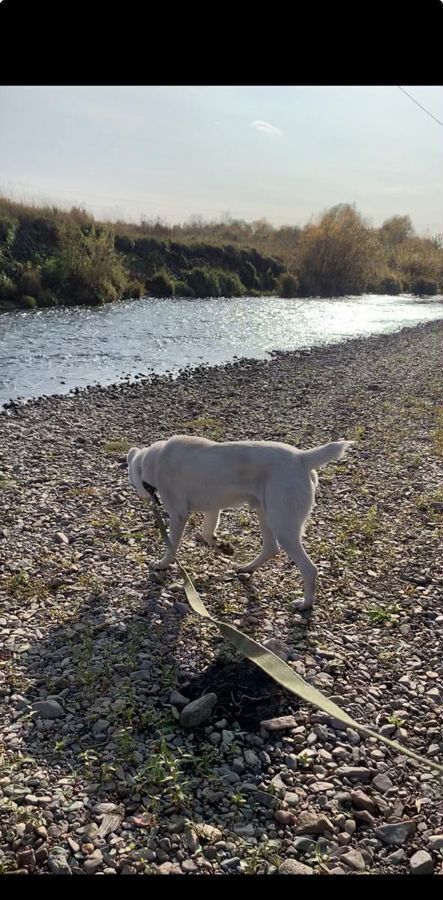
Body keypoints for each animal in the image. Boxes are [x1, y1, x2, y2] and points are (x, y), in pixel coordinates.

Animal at [125, 432, 354, 608]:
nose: (140, 496)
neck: (153, 460)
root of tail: (302, 457)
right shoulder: (213, 508)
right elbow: (206, 533)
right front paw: (221, 546)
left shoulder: (178, 514)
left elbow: (172, 546)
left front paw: (162, 564)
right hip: (266, 514)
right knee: (271, 548)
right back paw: (247, 568)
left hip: (283, 526)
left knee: (309, 569)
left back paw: (305, 604)